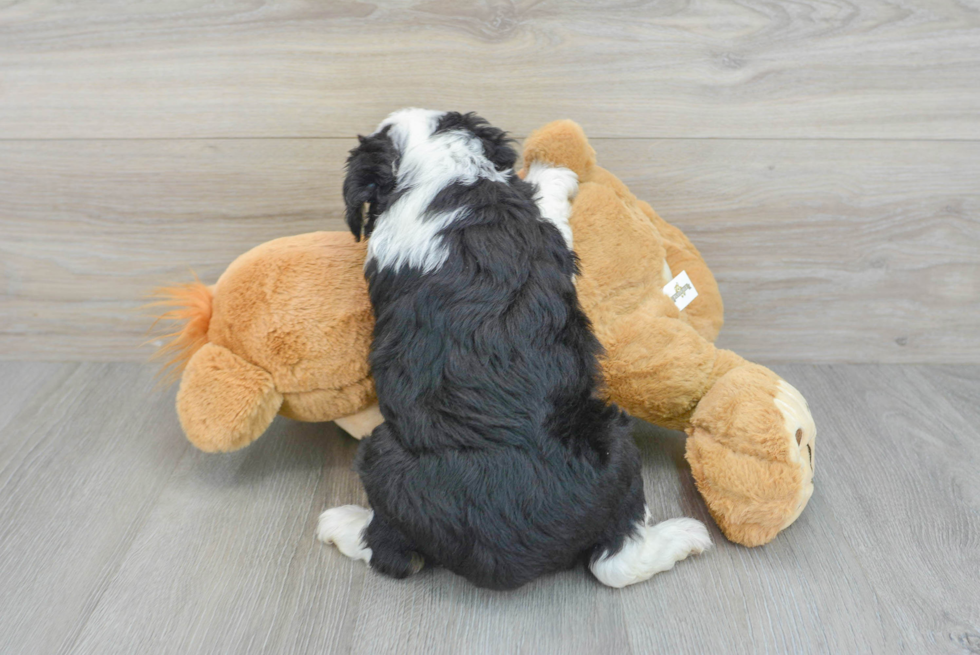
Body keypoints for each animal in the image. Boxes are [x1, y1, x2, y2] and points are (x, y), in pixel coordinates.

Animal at [322, 110, 712, 592]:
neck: (442, 176)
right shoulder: (547, 229)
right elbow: (548, 200)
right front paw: (554, 170)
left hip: (384, 457)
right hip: (613, 441)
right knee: (614, 562)